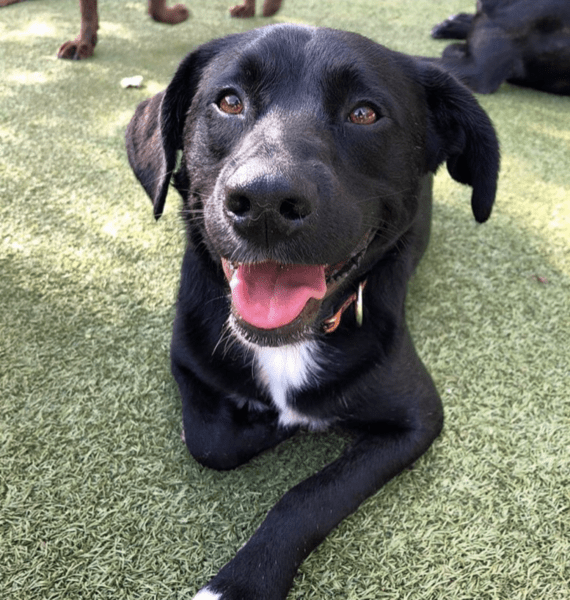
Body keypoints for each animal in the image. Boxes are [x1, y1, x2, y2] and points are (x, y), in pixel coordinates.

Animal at [125, 23, 496, 600]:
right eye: (228, 101)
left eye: (365, 113)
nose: (264, 202)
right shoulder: (185, 358)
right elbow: (211, 443)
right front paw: (274, 420)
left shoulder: (417, 419)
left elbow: (312, 495)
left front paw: (243, 583)